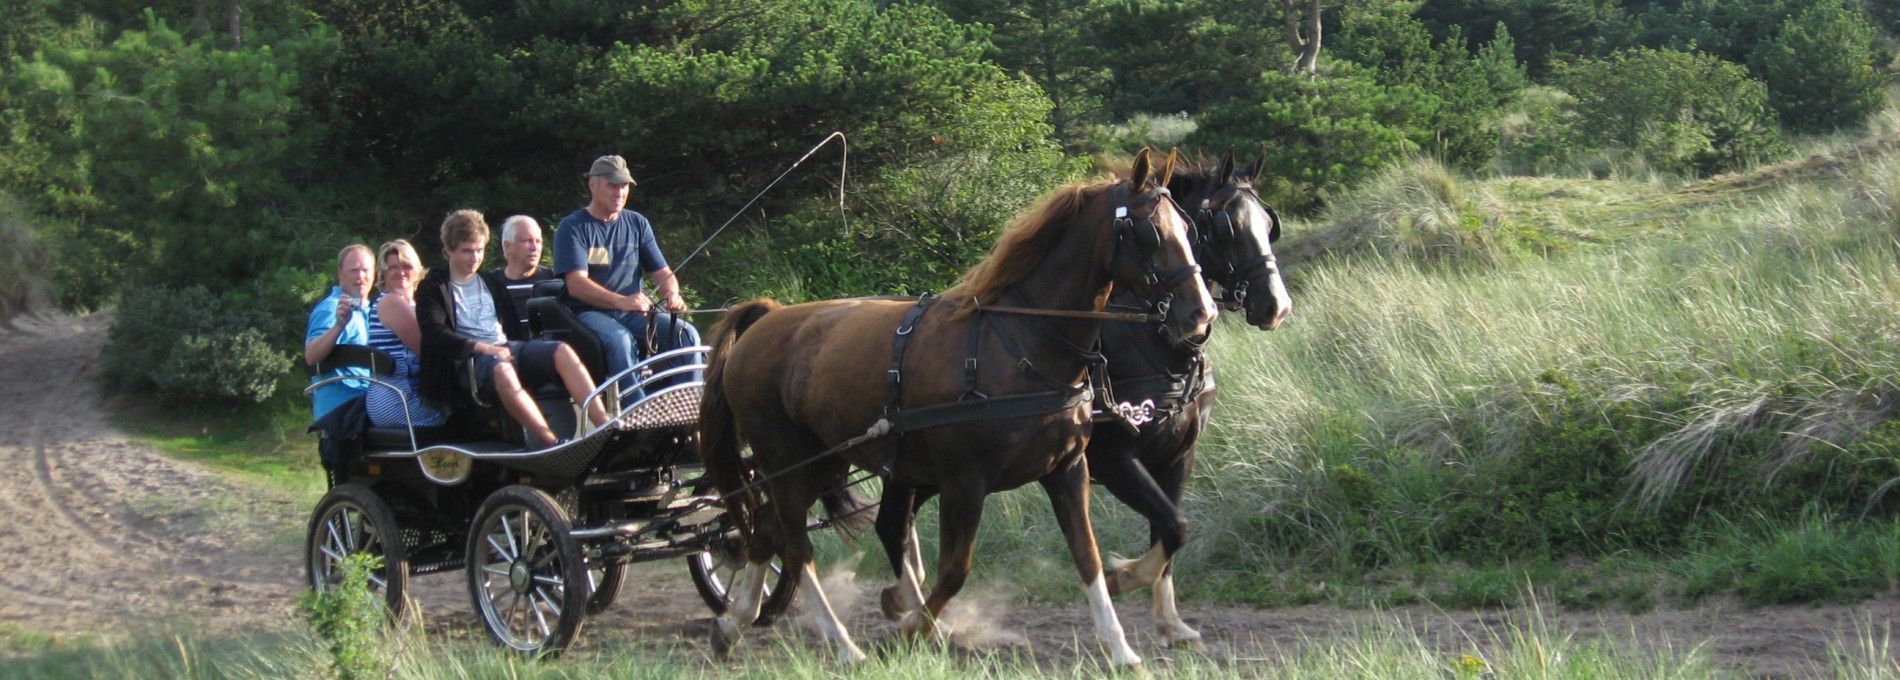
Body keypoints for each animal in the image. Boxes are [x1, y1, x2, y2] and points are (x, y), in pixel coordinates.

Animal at [703, 150, 1216, 668]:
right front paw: (912, 628)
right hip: (788, 462)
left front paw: (1120, 644)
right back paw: (843, 643)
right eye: (1149, 232)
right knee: (796, 545)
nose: (1201, 313)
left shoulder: (1069, 469)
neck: (1018, 344)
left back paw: (732, 623)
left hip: (824, 463)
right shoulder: (965, 483)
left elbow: (1089, 556)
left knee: (768, 531)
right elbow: (954, 570)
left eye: (1189, 229)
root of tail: (764, 322)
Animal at [870, 149, 1292, 649]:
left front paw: (1169, 622)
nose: (1277, 306)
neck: (1148, 342)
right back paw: (909, 603)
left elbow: (1168, 533)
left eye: (1268, 223)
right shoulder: (1114, 460)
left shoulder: (1177, 457)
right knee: (892, 522)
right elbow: (1174, 528)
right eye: (1225, 225)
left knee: (897, 522)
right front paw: (1120, 578)